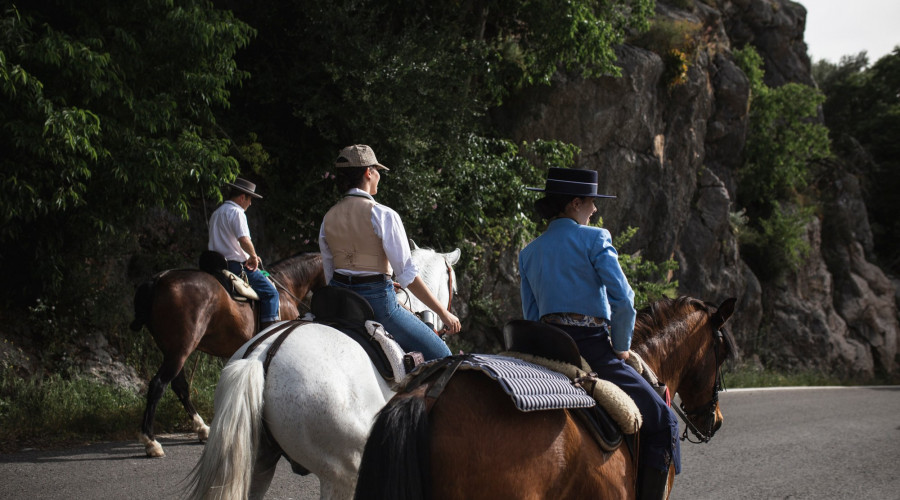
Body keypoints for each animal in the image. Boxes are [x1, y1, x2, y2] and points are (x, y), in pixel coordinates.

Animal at [126, 254, 324, 458]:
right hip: (180, 350)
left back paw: (202, 428)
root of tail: (158, 280)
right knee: (158, 385)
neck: (287, 285)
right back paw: (151, 441)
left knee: (179, 386)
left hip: (172, 351)